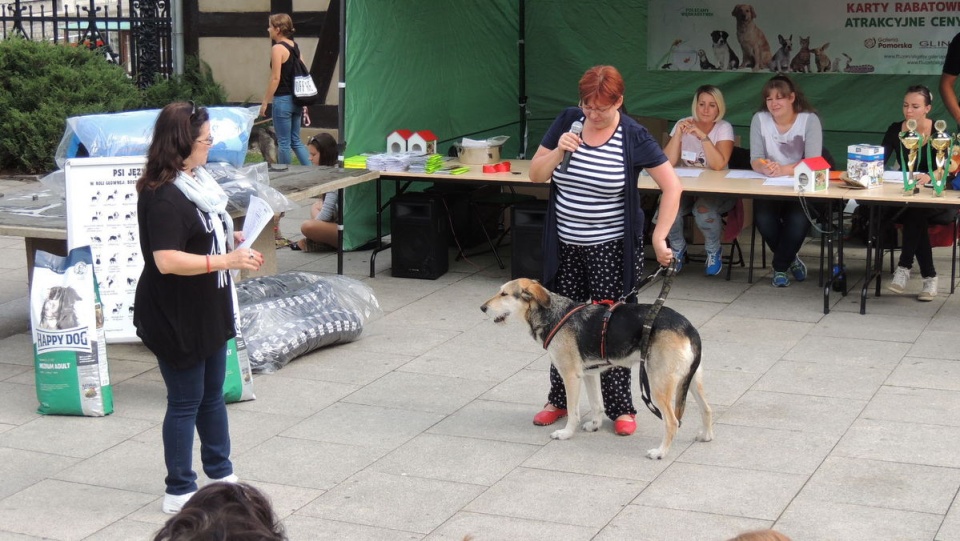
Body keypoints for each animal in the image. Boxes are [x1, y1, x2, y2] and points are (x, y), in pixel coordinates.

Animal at [480, 278, 712, 460]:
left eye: (504, 294)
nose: (482, 308)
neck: (553, 314)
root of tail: (689, 327)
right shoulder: (589, 374)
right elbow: (596, 405)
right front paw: (594, 425)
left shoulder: (570, 376)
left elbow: (573, 411)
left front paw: (566, 433)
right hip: (692, 379)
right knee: (707, 408)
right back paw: (706, 436)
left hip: (658, 384)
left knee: (672, 422)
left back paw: (660, 452)